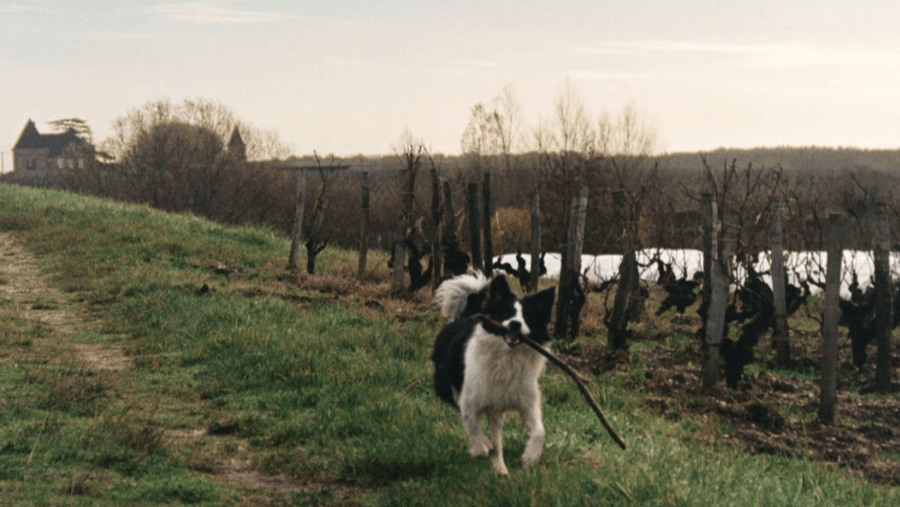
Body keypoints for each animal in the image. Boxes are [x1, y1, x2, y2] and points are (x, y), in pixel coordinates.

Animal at [430, 274, 556, 476]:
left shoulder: (527, 400)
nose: (515, 324)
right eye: (506, 313)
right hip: (449, 387)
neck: (507, 357)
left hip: (496, 411)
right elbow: (473, 426)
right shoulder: (469, 400)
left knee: (497, 435)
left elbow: (539, 431)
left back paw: (501, 469)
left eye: (527, 317)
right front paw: (480, 447)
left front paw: (529, 457)